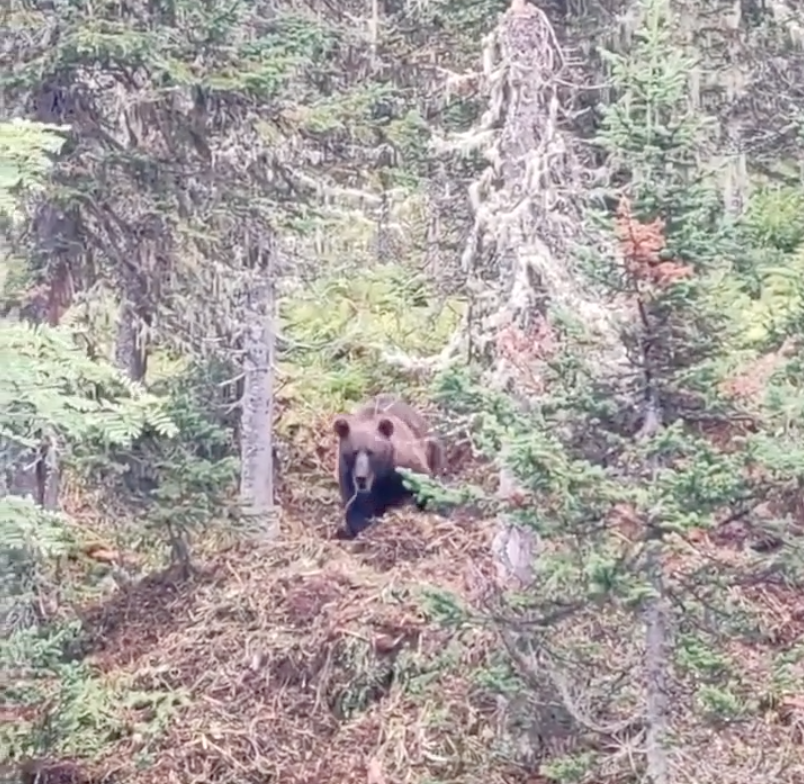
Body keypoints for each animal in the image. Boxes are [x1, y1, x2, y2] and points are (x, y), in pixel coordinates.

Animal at [332, 395, 443, 539]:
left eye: (371, 452)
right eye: (353, 452)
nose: (360, 477)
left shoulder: (404, 466)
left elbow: (421, 485)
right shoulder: (348, 478)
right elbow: (356, 510)